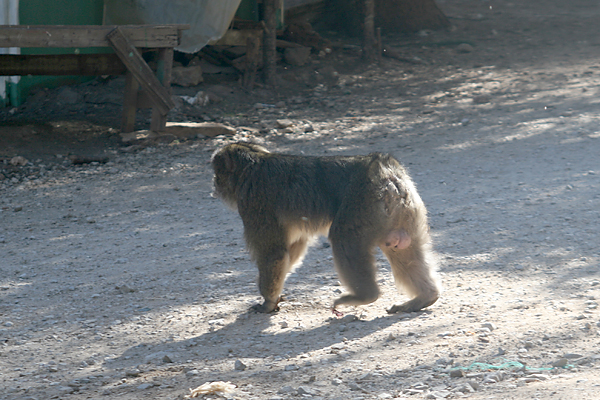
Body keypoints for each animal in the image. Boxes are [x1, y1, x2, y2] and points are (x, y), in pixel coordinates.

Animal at [211, 142, 440, 314]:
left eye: (217, 172)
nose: (213, 185)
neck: (250, 168)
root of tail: (385, 169)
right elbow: (292, 249)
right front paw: (276, 296)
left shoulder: (254, 203)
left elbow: (274, 253)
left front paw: (267, 302)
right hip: (405, 212)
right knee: (402, 249)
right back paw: (426, 297)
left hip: (363, 203)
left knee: (343, 239)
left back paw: (366, 296)